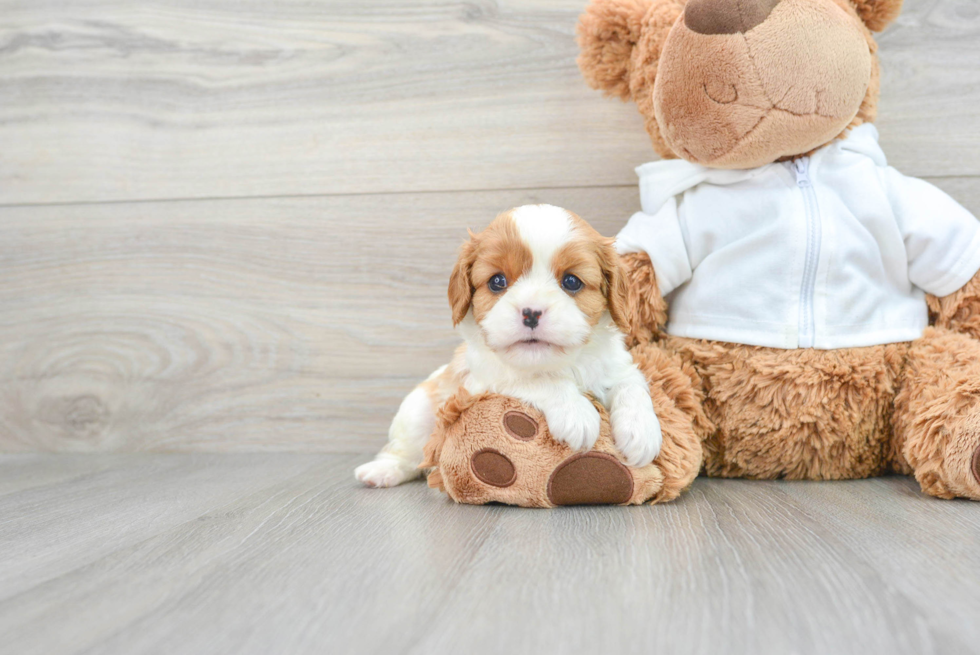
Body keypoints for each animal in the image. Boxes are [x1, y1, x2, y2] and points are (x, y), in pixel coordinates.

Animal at [356, 205, 664, 486]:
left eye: (571, 281)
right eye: (497, 281)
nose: (531, 313)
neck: (563, 364)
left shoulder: (617, 366)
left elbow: (632, 385)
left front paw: (642, 432)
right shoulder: (485, 379)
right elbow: (538, 379)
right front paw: (576, 413)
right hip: (417, 409)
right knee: (408, 453)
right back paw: (382, 471)